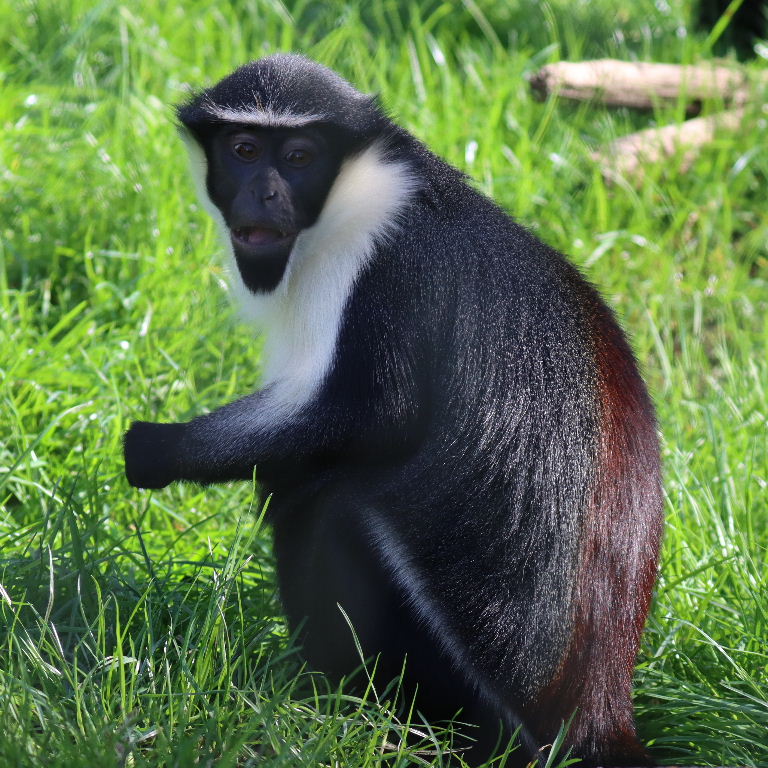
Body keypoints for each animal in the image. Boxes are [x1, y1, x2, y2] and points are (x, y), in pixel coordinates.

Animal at [124, 54, 663, 767]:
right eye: (243, 150)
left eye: (298, 156)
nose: (262, 194)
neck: (359, 192)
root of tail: (599, 712)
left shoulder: (392, 271)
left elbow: (374, 414)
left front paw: (155, 447)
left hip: (464, 684)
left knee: (326, 499)